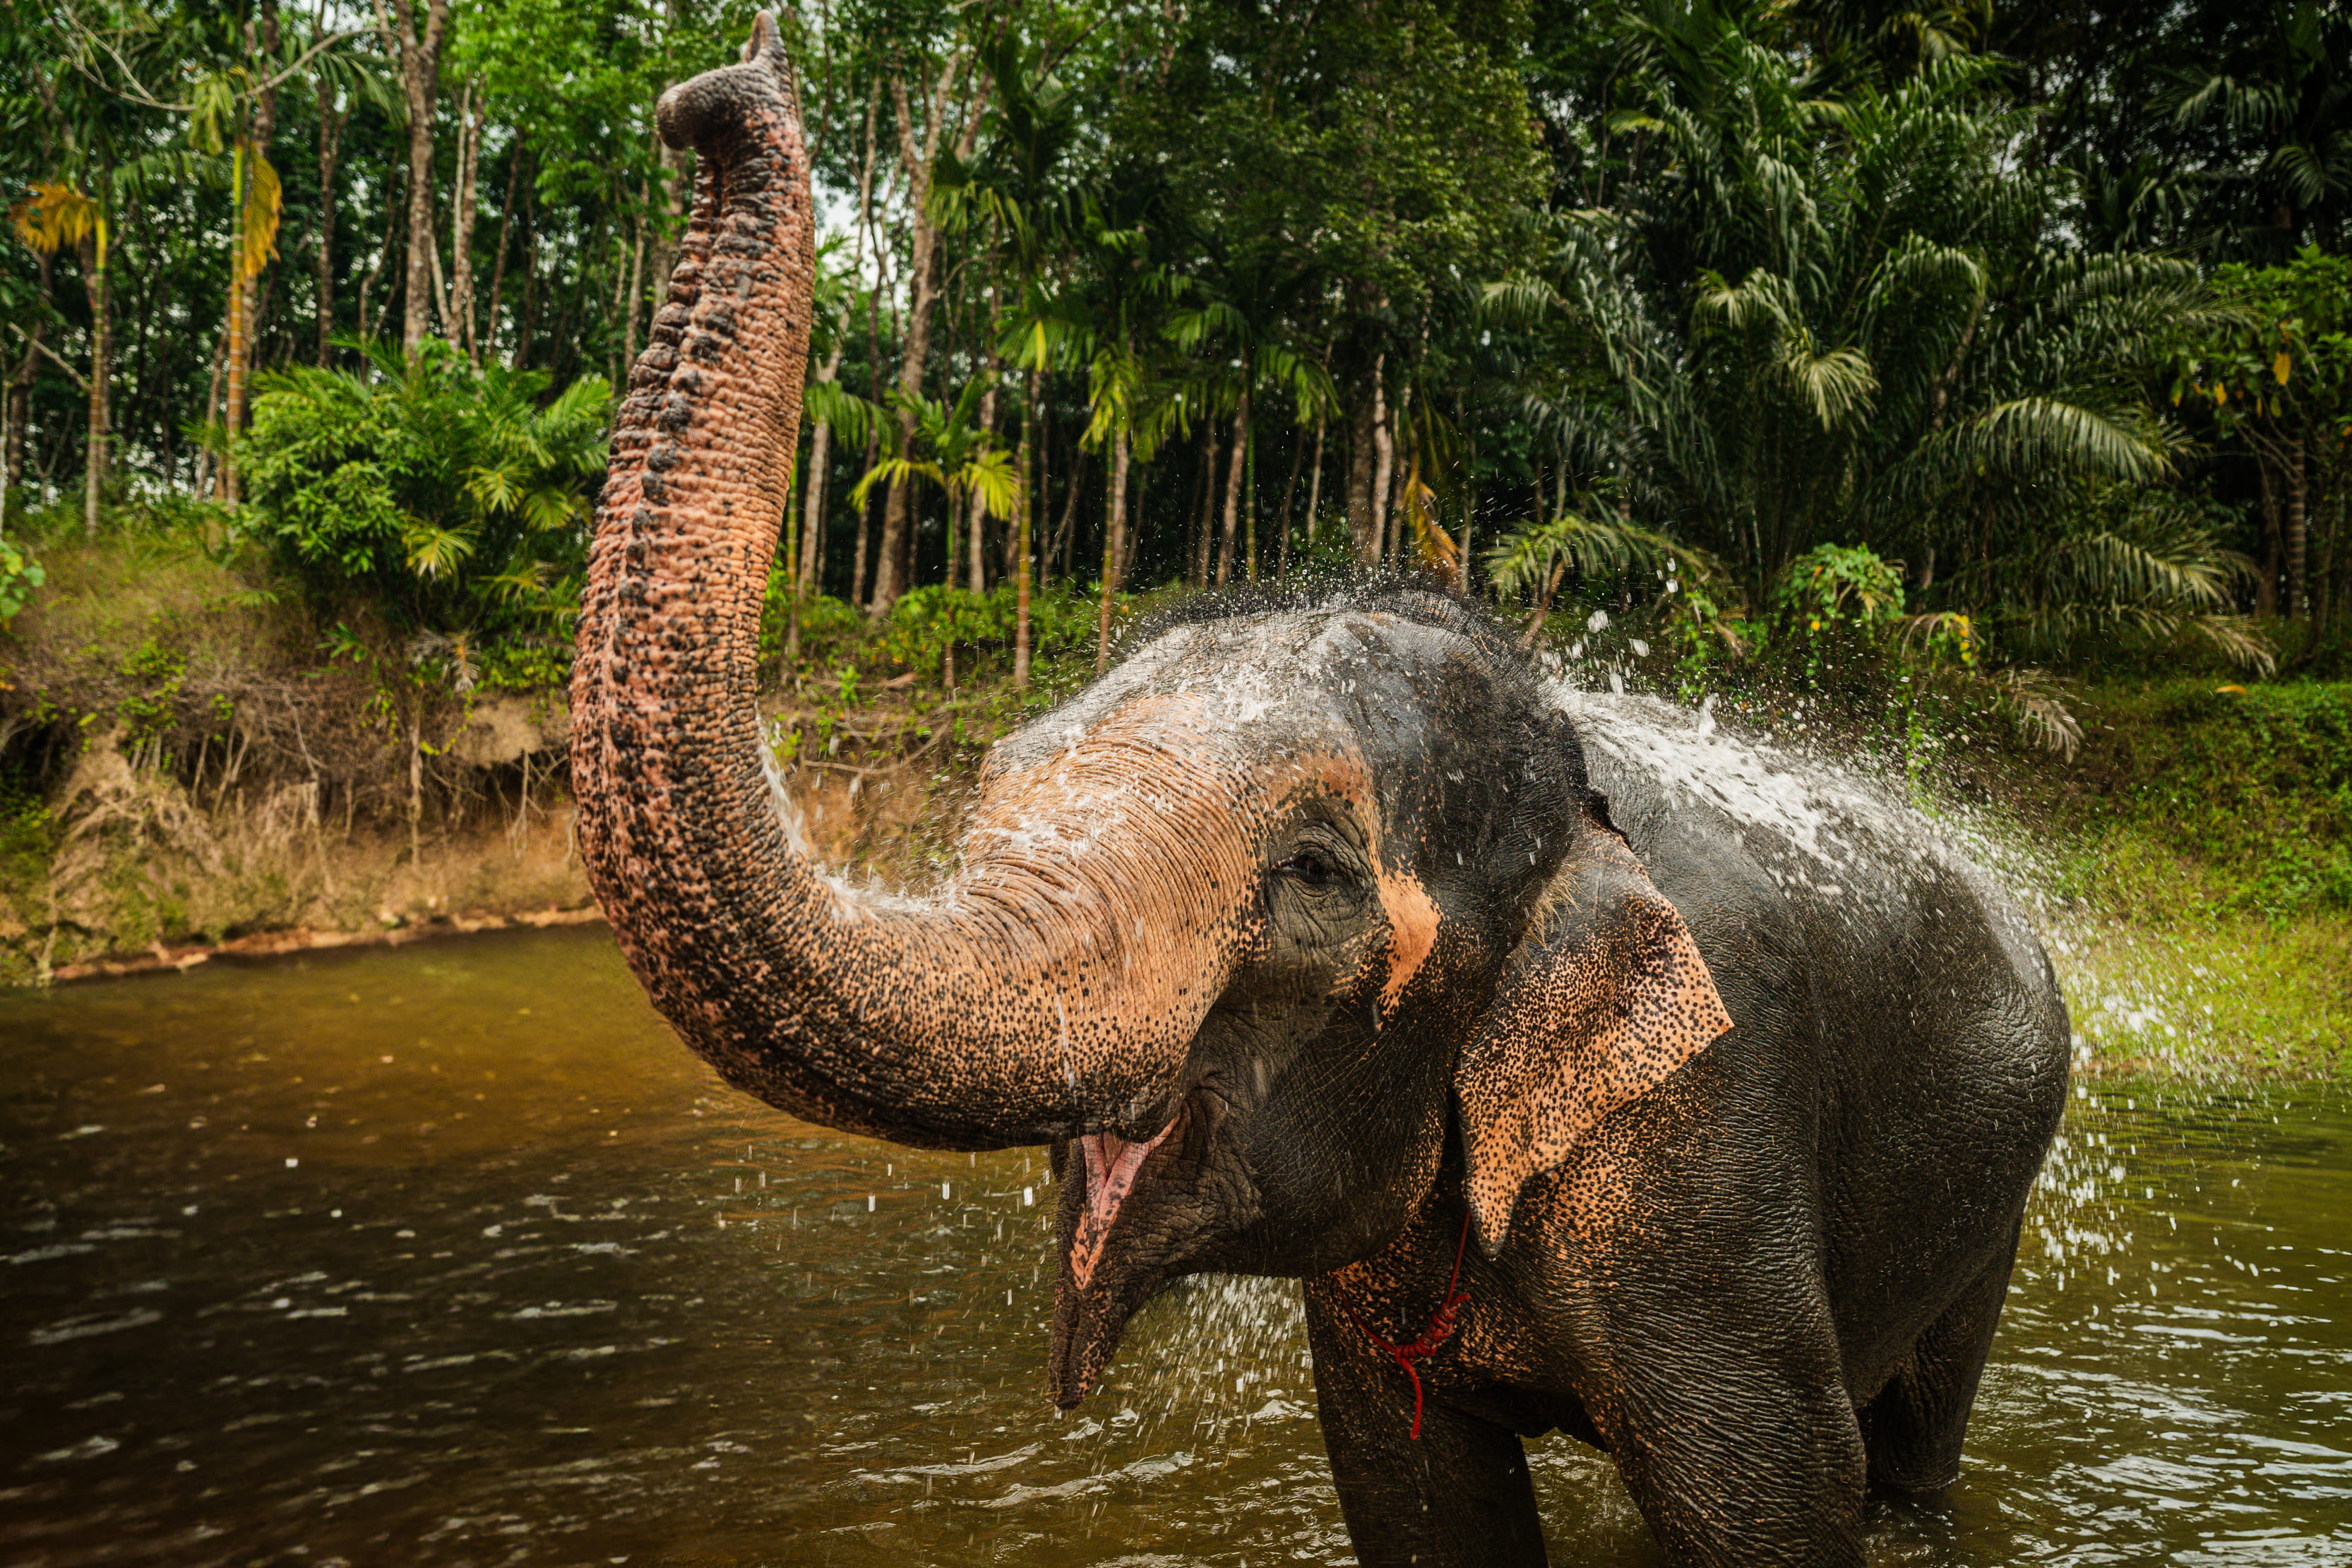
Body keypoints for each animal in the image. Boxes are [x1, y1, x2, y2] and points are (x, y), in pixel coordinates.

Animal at [568, 18, 2071, 1566]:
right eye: (992, 792)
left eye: (1311, 876)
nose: (719, 87)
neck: (1568, 780)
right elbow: (1415, 1499)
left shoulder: (1706, 1156)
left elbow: (1783, 1495)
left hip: (2000, 1194)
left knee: (1908, 1449)